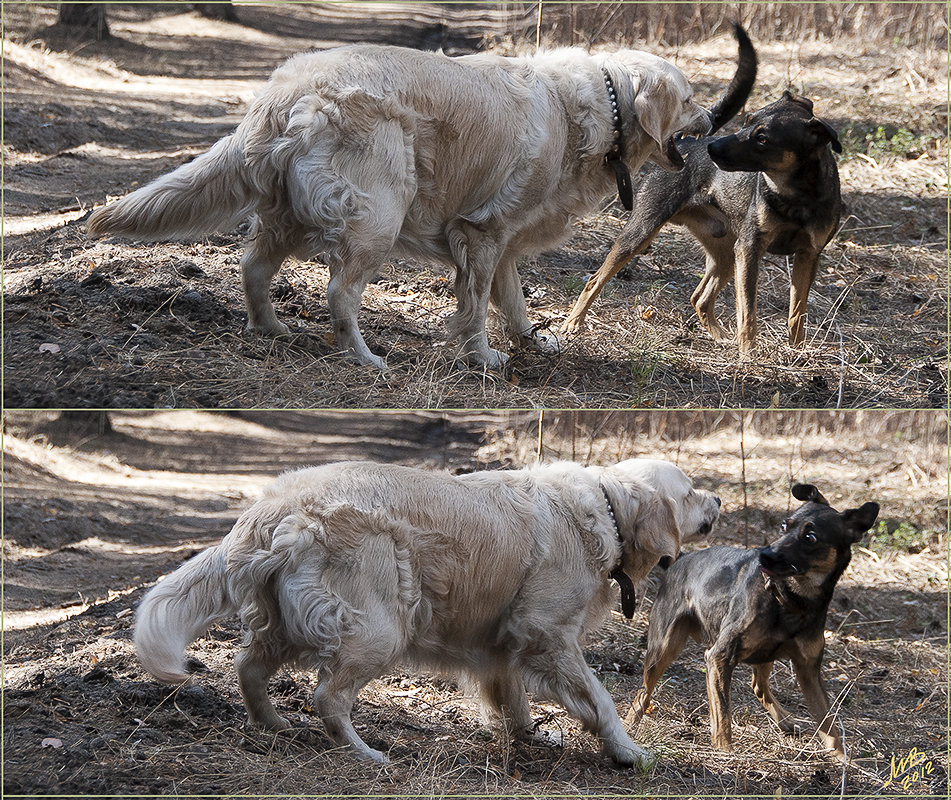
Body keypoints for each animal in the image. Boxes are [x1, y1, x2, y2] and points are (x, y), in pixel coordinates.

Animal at [91, 29, 760, 368]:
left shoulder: (503, 240)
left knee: (254, 265)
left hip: (289, 214)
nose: (712, 123)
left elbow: (511, 299)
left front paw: (528, 341)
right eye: (688, 98)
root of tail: (281, 95)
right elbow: (477, 302)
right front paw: (481, 355)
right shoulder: (484, 231)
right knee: (339, 294)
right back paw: (364, 357)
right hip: (375, 214)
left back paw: (271, 329)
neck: (598, 112)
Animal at [132, 460, 712, 772]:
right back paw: (365, 754)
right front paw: (629, 752)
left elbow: (513, 698)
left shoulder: (504, 642)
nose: (721, 502)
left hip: (288, 622)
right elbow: (600, 700)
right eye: (689, 491)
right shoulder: (546, 634)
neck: (607, 511)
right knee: (328, 696)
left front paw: (528, 735)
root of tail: (274, 506)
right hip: (377, 628)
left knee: (248, 667)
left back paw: (272, 724)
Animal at [560, 90, 844, 354]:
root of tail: (684, 142)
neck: (796, 197)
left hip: (727, 255)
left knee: (700, 298)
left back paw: (722, 338)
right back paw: (573, 323)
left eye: (763, 139)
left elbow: (797, 312)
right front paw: (748, 354)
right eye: (747, 121)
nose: (712, 149)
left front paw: (797, 351)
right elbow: (748, 312)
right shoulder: (750, 249)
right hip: (641, 232)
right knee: (595, 280)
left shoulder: (808, 254)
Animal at [628, 484, 880, 760]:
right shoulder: (719, 657)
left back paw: (786, 720)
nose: (765, 556)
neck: (792, 601)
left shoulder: (809, 670)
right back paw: (629, 726)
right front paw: (724, 750)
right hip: (663, 648)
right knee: (643, 693)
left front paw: (844, 759)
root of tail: (681, 558)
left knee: (758, 686)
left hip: (763, 654)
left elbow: (827, 718)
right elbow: (723, 712)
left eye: (810, 537)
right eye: (784, 525)